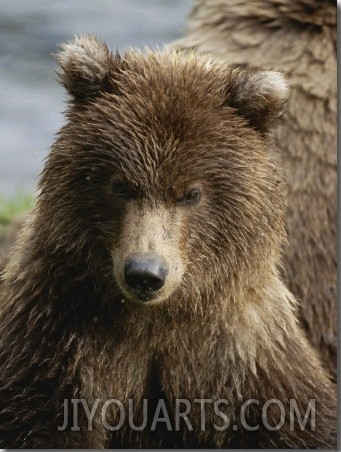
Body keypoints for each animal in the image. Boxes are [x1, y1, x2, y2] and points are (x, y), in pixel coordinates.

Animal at [0, 35, 334, 448]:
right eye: (120, 185)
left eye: (191, 193)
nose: (145, 273)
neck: (156, 321)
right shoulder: (55, 339)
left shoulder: (245, 358)